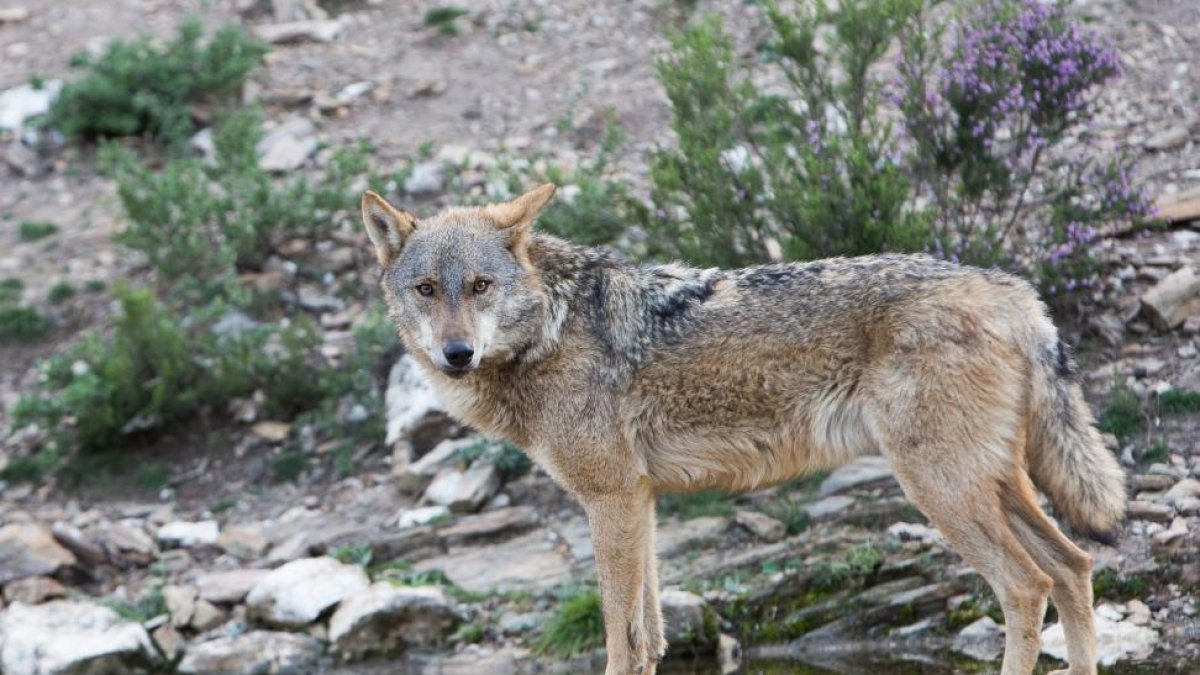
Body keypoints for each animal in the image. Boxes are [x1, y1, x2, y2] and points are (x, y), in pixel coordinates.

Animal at [361, 184, 1126, 675]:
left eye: (480, 286)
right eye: (427, 289)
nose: (456, 353)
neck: (549, 327)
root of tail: (1010, 289)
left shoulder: (610, 500)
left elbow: (619, 640)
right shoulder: (638, 502)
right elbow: (650, 640)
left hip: (942, 490)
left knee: (1026, 585)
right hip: (993, 485)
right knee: (1074, 566)